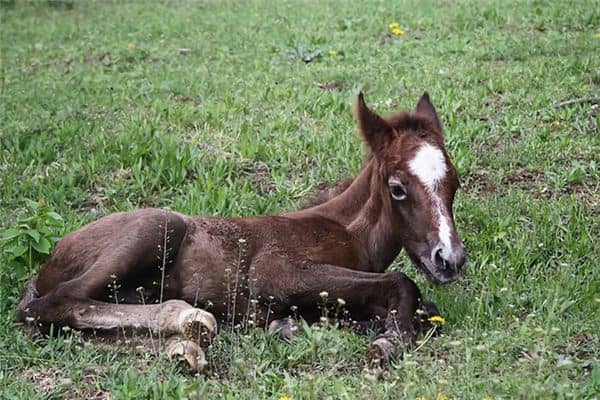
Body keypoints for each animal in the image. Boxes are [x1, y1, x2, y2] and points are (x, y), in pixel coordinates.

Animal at [16, 92, 466, 370]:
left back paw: (184, 346)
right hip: (158, 225)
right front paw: (387, 341)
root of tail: (48, 262)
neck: (346, 230)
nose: (450, 259)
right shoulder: (275, 272)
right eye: (397, 187)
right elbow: (402, 282)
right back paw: (187, 318)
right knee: (52, 306)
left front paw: (296, 325)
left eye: (455, 183)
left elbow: (422, 307)